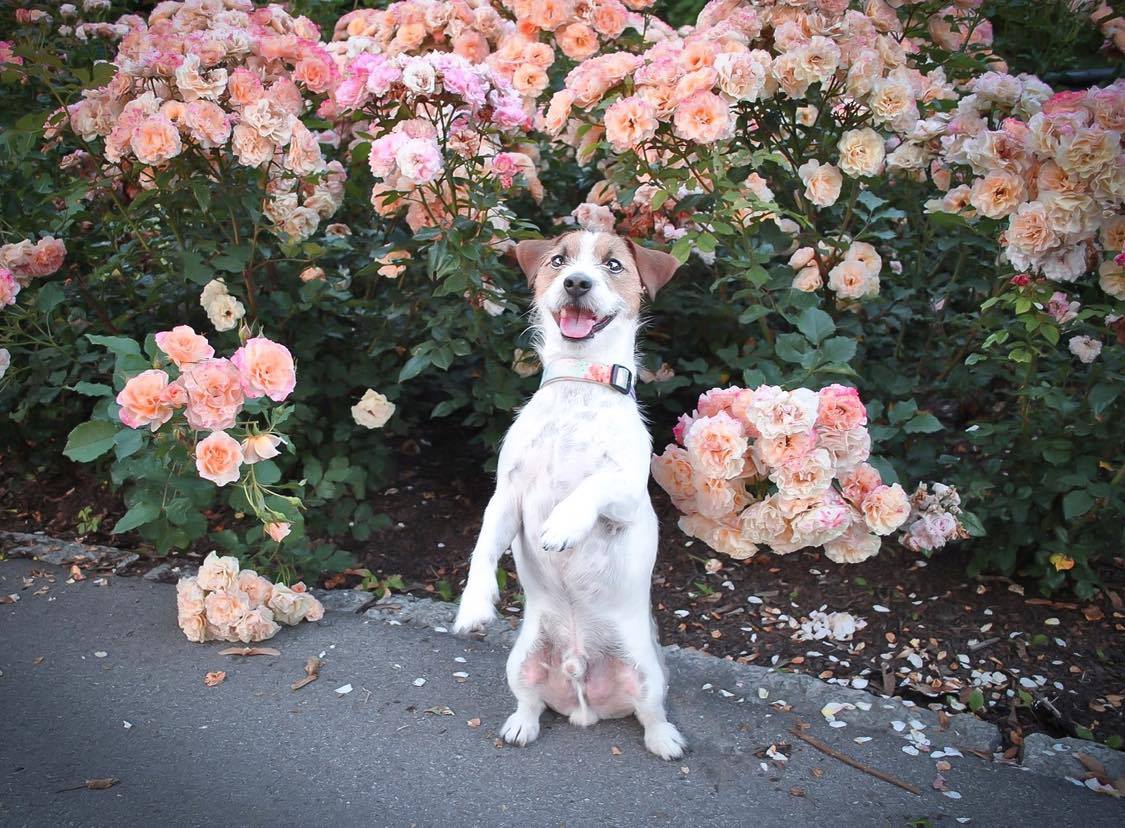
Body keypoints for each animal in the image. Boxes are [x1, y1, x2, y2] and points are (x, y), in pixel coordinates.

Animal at [451, 230, 685, 759]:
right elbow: (481, 548)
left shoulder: (628, 496)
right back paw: (521, 724)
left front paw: (562, 523)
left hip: (648, 671)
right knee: (531, 701)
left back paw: (665, 739)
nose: (577, 282)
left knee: (650, 712)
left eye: (613, 264)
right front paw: (474, 605)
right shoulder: (506, 496)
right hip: (520, 661)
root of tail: (584, 700)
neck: (580, 381)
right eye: (558, 260)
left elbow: (594, 484)